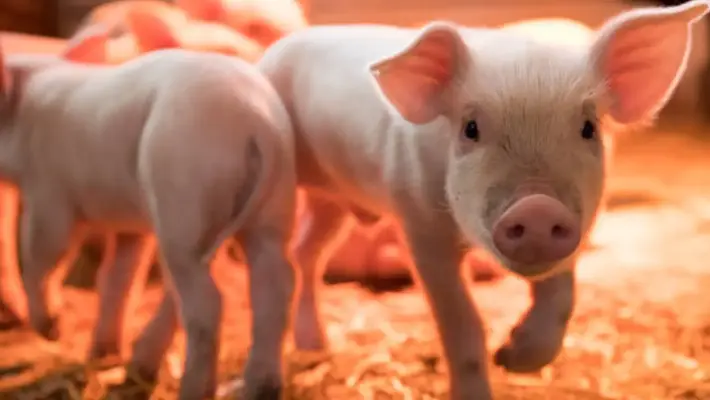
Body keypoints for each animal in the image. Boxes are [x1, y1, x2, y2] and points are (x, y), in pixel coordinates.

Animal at [0, 25, 297, 399]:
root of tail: (256, 125)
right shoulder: (132, 225)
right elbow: (118, 278)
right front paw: (101, 354)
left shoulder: (49, 195)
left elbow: (42, 258)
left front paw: (51, 330)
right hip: (274, 206)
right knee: (274, 286)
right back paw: (259, 387)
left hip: (184, 202)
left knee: (208, 302)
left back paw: (190, 389)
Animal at [256, 1, 709, 398]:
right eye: (470, 128)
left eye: (588, 128)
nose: (537, 206)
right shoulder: (421, 227)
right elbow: (463, 323)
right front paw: (488, 370)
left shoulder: (578, 229)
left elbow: (562, 297)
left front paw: (513, 358)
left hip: (332, 199)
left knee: (308, 253)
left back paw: (315, 345)